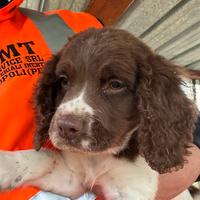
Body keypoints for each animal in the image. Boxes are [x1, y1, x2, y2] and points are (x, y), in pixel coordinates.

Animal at [0, 28, 198, 200]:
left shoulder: (132, 189)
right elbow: (44, 157)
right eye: (63, 80)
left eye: (115, 85)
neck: (97, 159)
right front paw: (4, 165)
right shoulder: (74, 179)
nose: (65, 127)